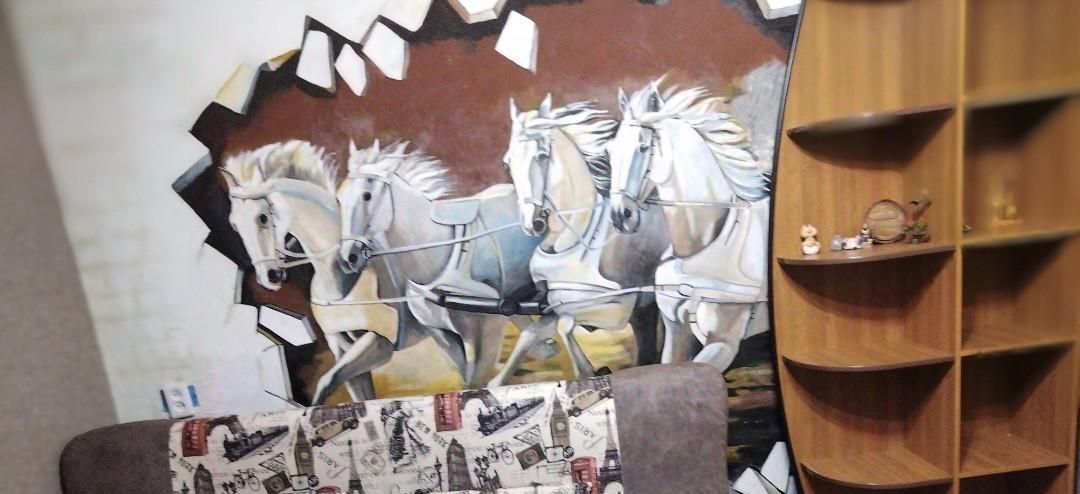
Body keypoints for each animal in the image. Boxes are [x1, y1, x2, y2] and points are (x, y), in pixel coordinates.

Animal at [222, 140, 434, 403]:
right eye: (234, 224)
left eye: (262, 217)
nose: (269, 276)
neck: (340, 280)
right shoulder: (340, 345)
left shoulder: (379, 342)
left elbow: (326, 382)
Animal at [337, 140, 544, 388]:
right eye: (339, 198)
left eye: (366, 195)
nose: (348, 257)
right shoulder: (442, 334)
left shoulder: (487, 331)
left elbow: (475, 382)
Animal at [489, 95, 670, 386]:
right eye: (508, 162)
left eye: (542, 156)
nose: (532, 223)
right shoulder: (559, 304)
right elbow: (532, 332)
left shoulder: (619, 309)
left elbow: (565, 325)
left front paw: (590, 371)